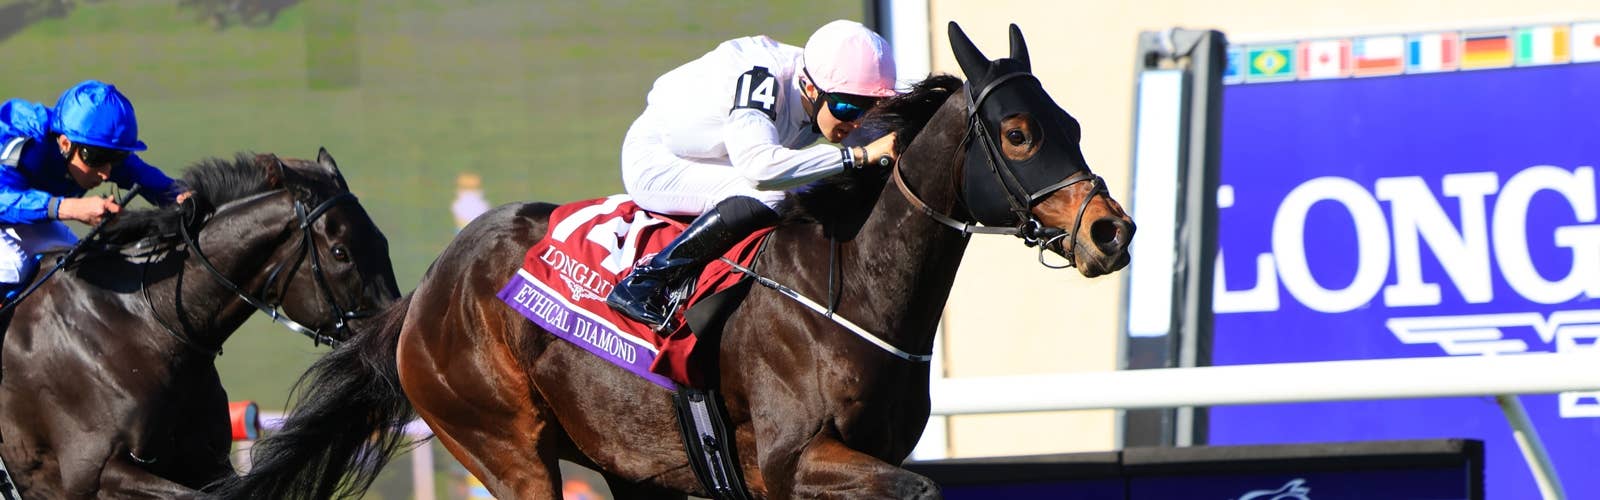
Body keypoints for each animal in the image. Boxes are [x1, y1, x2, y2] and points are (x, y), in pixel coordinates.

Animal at [0, 149, 399, 499]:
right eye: (340, 252)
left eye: (381, 238)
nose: (391, 337)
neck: (144, 324)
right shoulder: (93, 473)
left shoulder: (205, 461)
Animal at [213, 22, 1133, 499]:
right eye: (1019, 133)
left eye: (1073, 122)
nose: (1109, 232)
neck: (854, 294)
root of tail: (428, 290)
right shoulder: (792, 464)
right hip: (503, 445)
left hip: (634, 462)